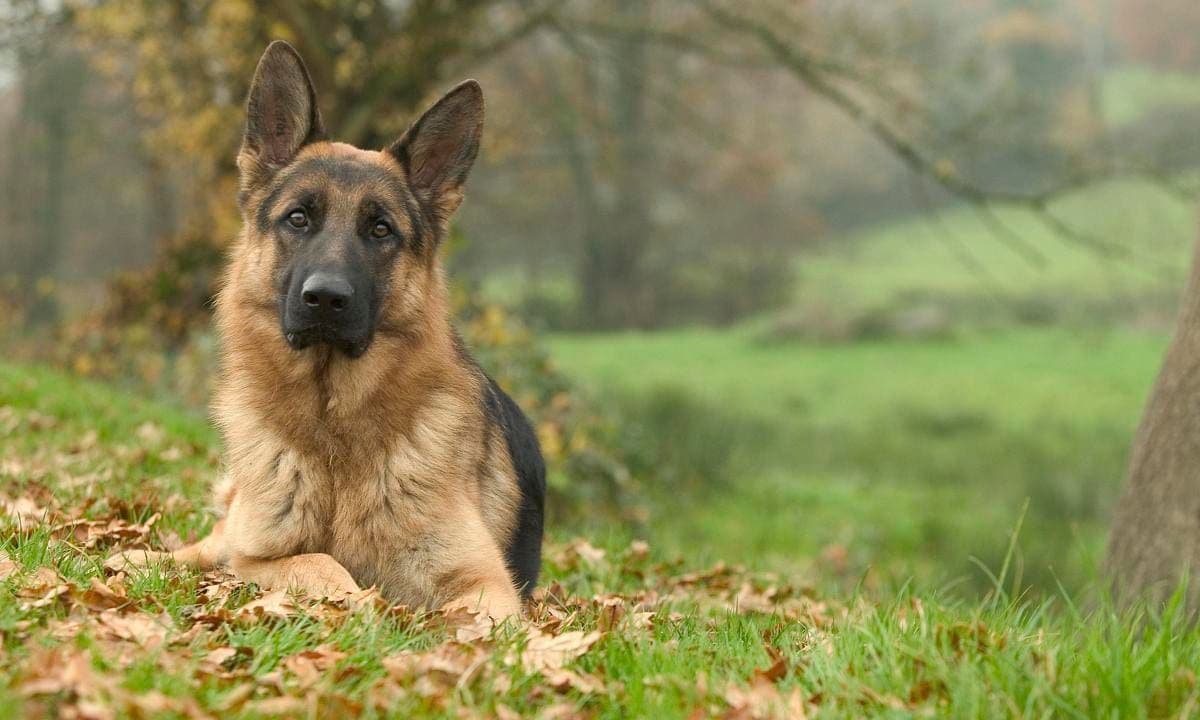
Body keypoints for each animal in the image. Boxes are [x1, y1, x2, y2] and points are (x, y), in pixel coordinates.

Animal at [112, 42, 544, 619]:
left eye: (380, 229)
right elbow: (320, 563)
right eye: (298, 219)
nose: (325, 299)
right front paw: (360, 606)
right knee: (203, 546)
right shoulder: (257, 558)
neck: (332, 431)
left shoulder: (485, 582)